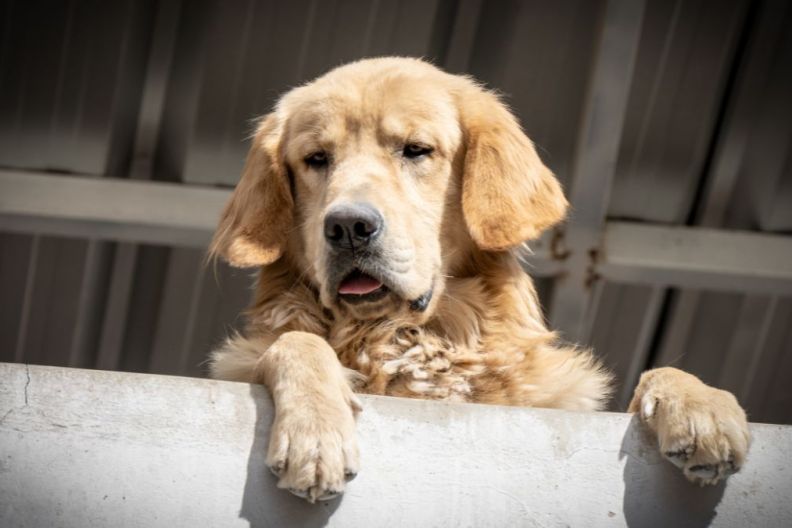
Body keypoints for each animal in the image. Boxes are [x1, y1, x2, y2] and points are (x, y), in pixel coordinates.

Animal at [207, 55, 752, 502]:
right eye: (316, 159)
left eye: (416, 150)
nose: (347, 227)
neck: (407, 340)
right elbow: (296, 342)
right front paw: (315, 430)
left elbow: (658, 374)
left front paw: (702, 406)